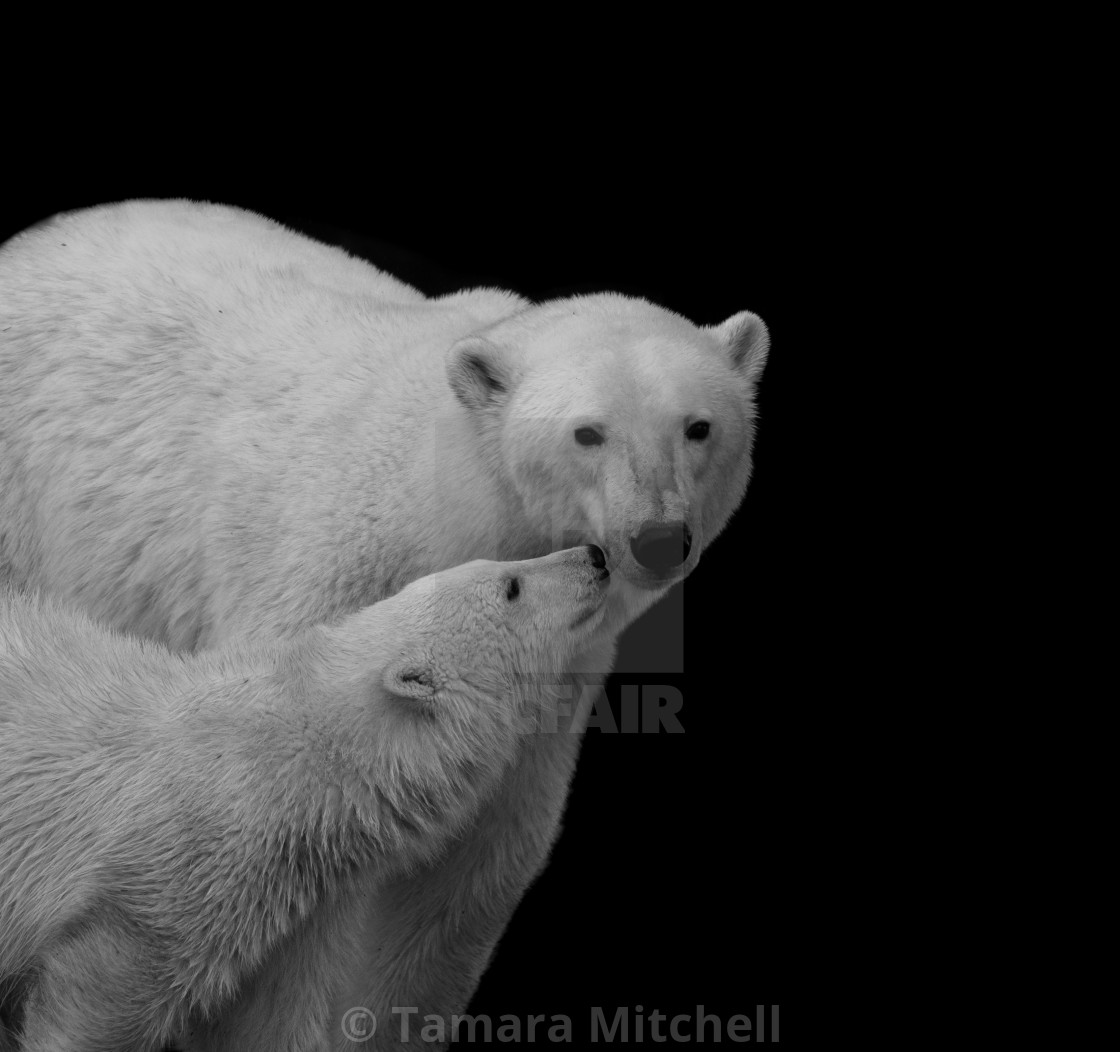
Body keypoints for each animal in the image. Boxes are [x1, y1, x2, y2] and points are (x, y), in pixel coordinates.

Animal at [0, 546, 613, 1048]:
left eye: (503, 567)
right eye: (510, 586)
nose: (595, 554)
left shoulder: (294, 918)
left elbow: (267, 1025)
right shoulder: (173, 878)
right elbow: (103, 995)